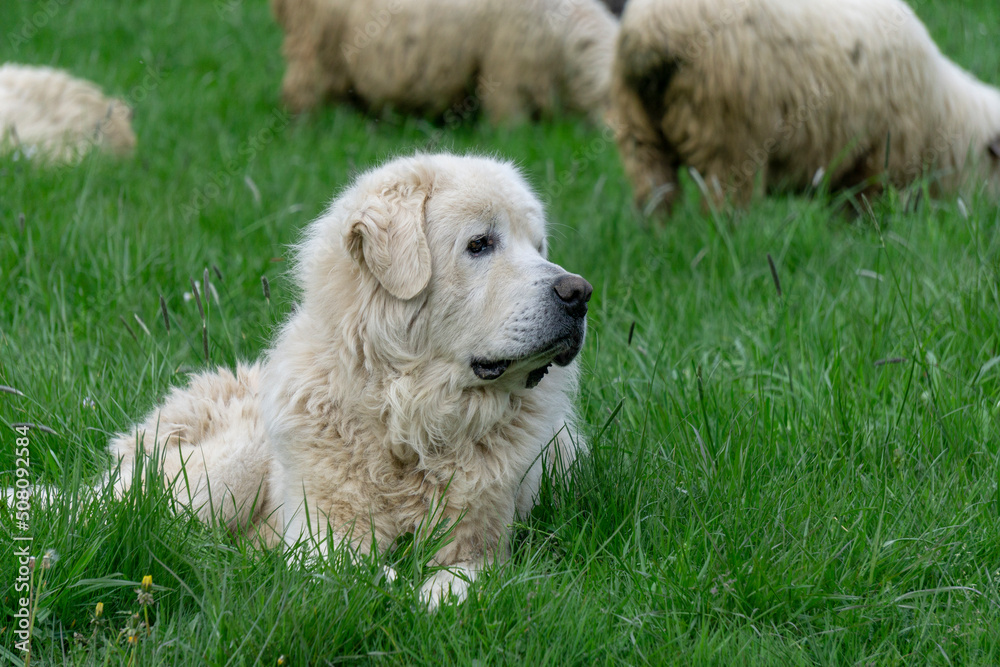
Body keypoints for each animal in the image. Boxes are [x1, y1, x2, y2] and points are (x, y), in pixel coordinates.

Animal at [107, 154, 592, 608]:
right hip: (224, 473)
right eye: (480, 244)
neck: (408, 418)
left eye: (539, 247)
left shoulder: (484, 541)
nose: (579, 293)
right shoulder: (318, 529)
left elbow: (460, 581)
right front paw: (387, 586)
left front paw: (430, 599)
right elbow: (348, 568)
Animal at [608, 0, 1000, 213]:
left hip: (638, 133)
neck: (944, 111)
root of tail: (650, 34)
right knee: (721, 211)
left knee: (655, 203)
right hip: (731, 140)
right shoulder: (874, 165)